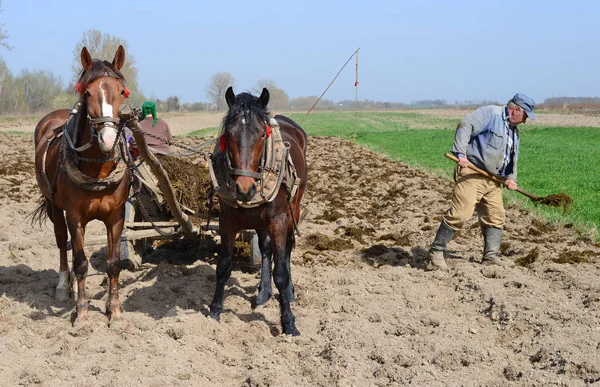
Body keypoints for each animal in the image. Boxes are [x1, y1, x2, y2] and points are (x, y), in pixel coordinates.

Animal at [32, 45, 130, 328]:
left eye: (122, 91)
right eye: (87, 92)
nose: (108, 138)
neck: (98, 170)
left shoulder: (116, 215)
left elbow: (113, 264)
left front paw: (114, 311)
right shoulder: (75, 216)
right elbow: (81, 263)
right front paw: (82, 313)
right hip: (54, 206)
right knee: (61, 242)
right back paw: (64, 287)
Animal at [210, 86, 310, 334]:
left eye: (262, 135)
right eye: (229, 134)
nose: (244, 188)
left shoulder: (279, 220)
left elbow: (281, 272)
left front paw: (288, 322)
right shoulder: (227, 221)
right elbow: (223, 266)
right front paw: (214, 310)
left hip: (293, 207)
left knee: (287, 248)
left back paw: (289, 293)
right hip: (259, 220)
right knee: (265, 249)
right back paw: (264, 291)